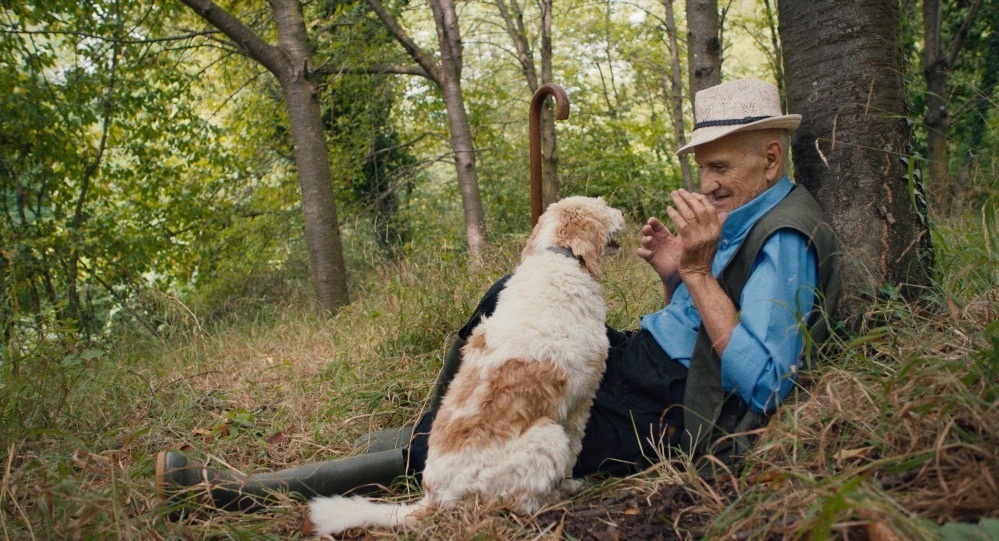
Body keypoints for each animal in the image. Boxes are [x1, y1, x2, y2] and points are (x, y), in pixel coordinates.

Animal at [304, 196, 624, 532]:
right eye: (601, 206)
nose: (621, 213)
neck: (558, 258)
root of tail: (436, 496)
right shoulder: (581, 400)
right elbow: (576, 446)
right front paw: (571, 479)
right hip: (547, 436)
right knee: (519, 502)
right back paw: (562, 493)